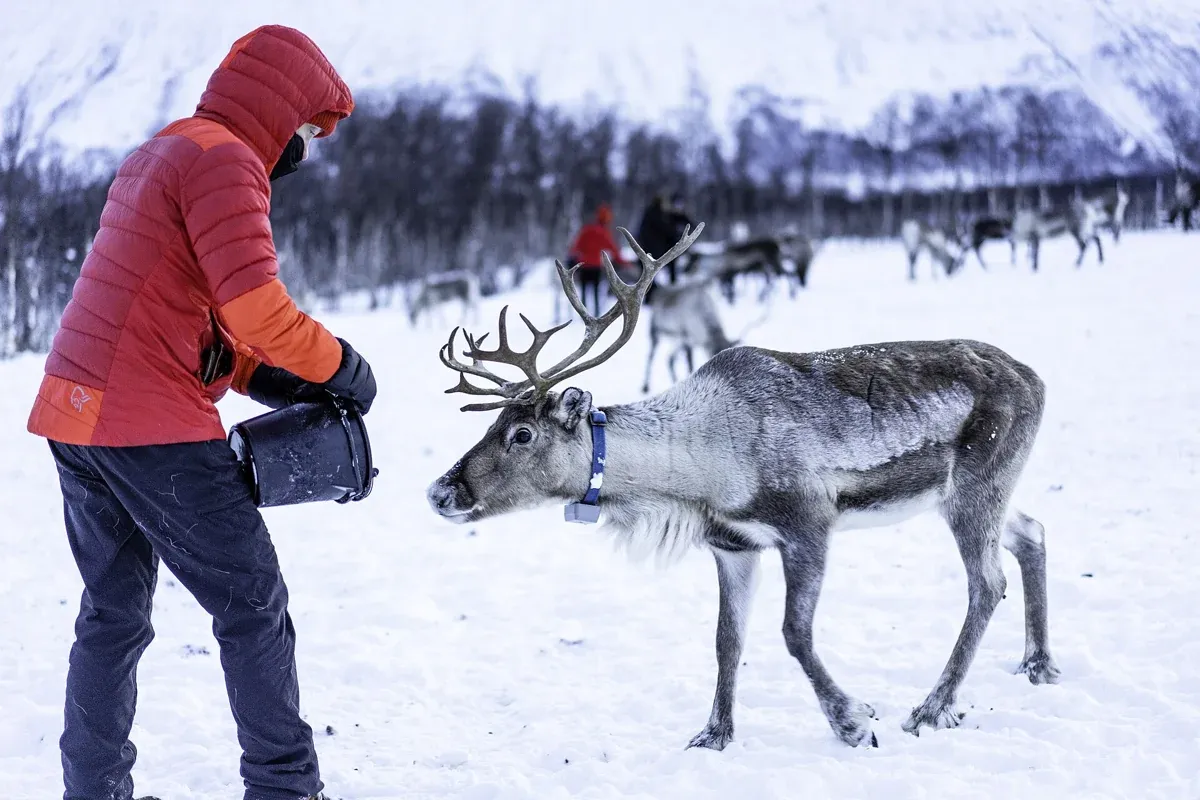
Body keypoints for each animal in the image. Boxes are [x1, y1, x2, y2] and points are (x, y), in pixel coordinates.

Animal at [425, 222, 1060, 753]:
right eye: (492, 425)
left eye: (522, 433)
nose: (439, 491)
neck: (698, 472)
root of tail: (1037, 378)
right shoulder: (732, 547)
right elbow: (726, 641)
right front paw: (714, 733)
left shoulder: (807, 527)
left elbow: (793, 634)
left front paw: (852, 721)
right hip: (980, 489)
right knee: (1032, 532)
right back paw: (1038, 663)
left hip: (976, 483)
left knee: (987, 582)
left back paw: (932, 708)